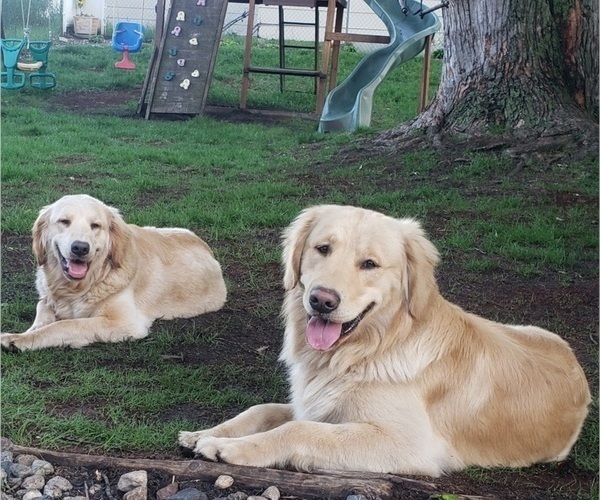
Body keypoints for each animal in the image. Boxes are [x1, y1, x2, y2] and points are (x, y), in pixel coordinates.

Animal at [0, 193, 227, 350]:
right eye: (64, 221)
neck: (77, 287)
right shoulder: (48, 298)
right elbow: (42, 310)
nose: (80, 248)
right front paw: (27, 332)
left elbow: (65, 325)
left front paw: (19, 339)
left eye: (95, 225)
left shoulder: (124, 323)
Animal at [179, 204, 592, 476]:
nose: (322, 300)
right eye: (322, 248)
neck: (367, 349)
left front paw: (226, 447)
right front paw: (204, 433)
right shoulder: (315, 404)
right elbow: (262, 410)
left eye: (370, 264)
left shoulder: (407, 444)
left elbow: (299, 429)